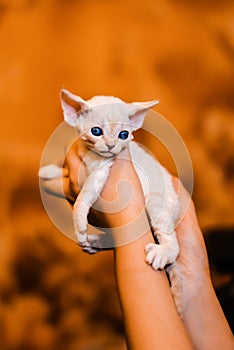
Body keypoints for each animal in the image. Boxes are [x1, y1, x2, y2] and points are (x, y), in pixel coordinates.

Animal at [39, 89, 184, 314]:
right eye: (96, 131)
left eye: (123, 135)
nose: (110, 145)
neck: (88, 154)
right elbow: (64, 171)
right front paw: (50, 171)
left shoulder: (101, 170)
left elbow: (83, 198)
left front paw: (79, 225)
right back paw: (96, 243)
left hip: (157, 202)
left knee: (170, 240)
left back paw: (163, 252)